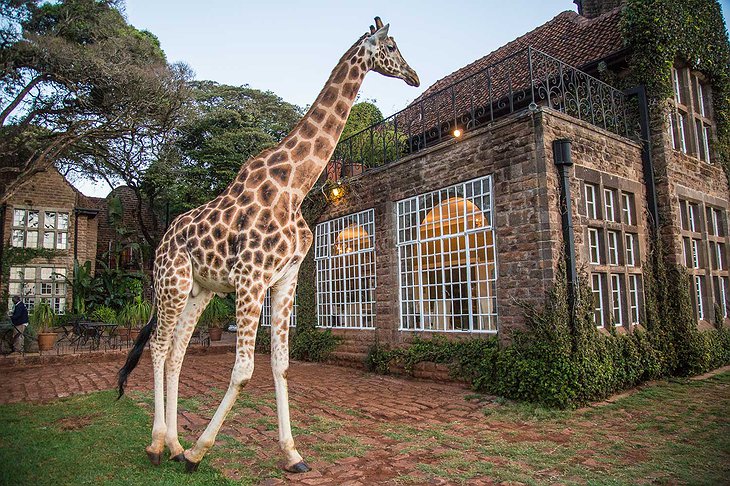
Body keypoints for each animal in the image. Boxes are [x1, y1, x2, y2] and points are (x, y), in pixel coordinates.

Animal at [116, 17, 418, 472]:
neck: (295, 186)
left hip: (201, 290)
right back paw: (157, 445)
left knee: (177, 351)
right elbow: (243, 369)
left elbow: (281, 365)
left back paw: (172, 443)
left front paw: (292, 454)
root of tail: (163, 241)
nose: (415, 76)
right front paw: (199, 452)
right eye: (393, 46)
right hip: (172, 282)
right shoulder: (251, 277)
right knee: (158, 345)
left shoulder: (285, 277)